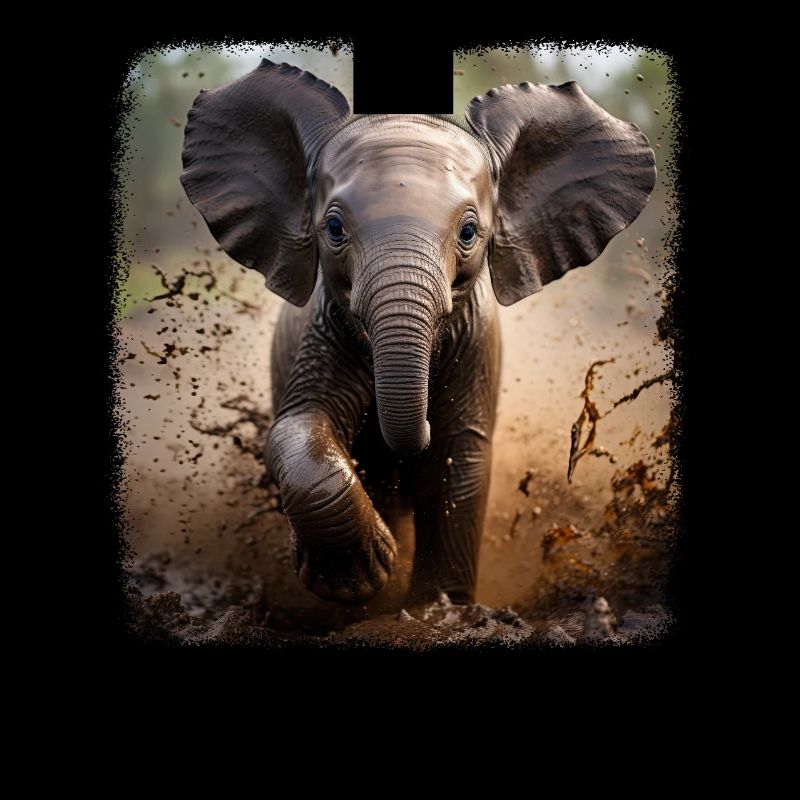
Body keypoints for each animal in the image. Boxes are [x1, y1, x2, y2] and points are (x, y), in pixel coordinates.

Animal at [181, 59, 656, 607]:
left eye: (469, 233)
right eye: (334, 229)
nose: (419, 422)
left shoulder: (475, 340)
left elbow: (458, 458)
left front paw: (436, 608)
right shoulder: (325, 327)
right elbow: (298, 426)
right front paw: (361, 579)